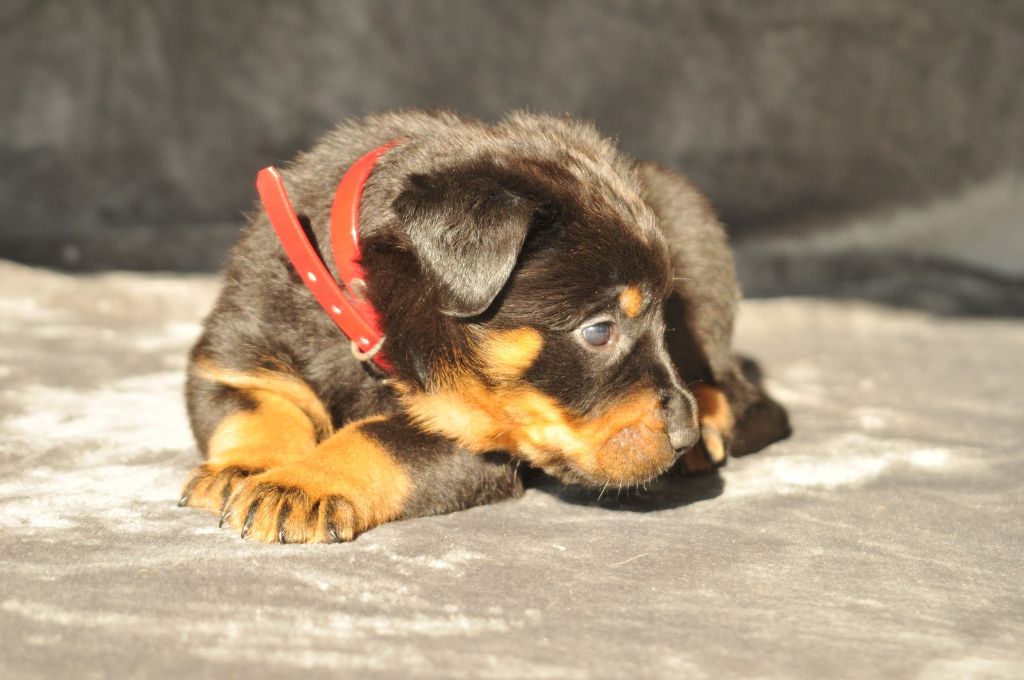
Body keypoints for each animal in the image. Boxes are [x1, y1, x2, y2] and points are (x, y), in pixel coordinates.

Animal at [179, 110, 790, 543]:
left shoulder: (475, 442)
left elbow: (378, 438)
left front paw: (298, 484)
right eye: (599, 331)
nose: (682, 431)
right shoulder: (235, 355)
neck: (367, 307)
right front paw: (243, 469)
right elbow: (256, 411)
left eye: (664, 316)